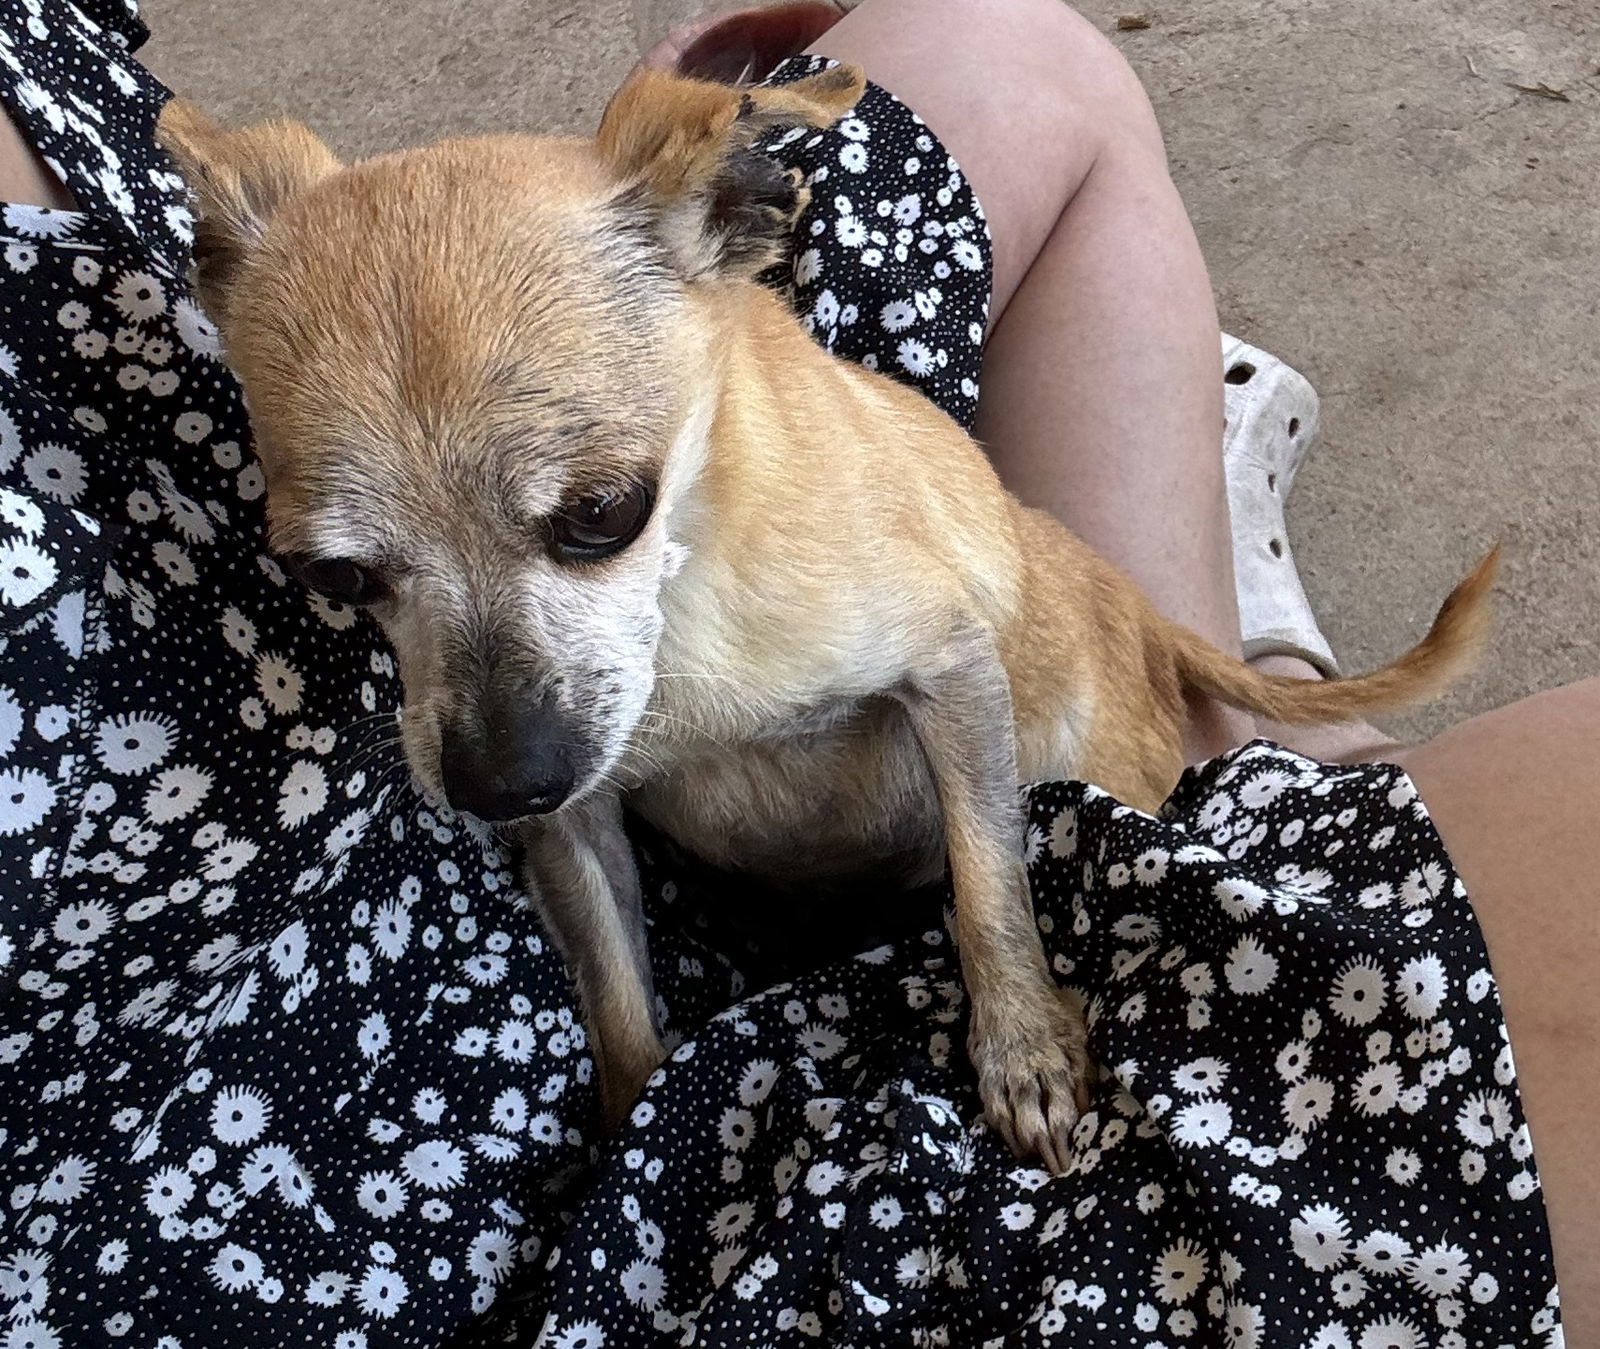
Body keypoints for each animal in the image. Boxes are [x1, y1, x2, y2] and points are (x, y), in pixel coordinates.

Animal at [156, 71, 1491, 1171]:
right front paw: (632, 1134)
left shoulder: (949, 673)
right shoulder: (579, 826)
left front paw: (1023, 1046)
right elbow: (620, 1005)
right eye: (334, 577)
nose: (499, 781)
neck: (681, 609)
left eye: (602, 512)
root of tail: (1145, 610)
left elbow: (986, 879)